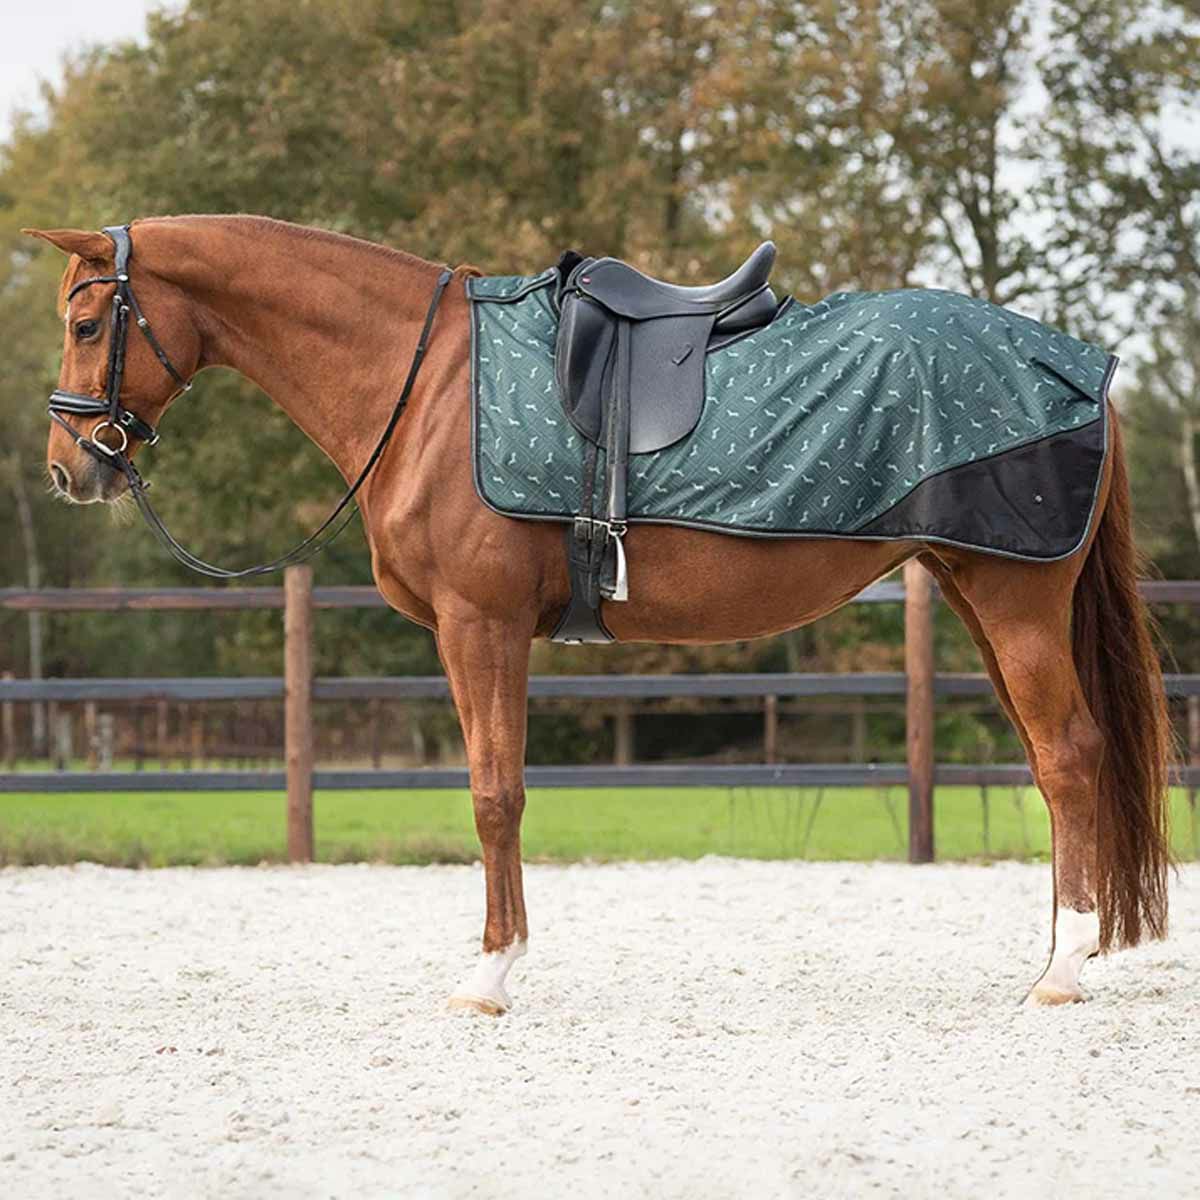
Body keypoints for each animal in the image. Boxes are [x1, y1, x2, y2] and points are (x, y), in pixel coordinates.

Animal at [27, 215, 1171, 1014]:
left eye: (86, 324)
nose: (70, 469)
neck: (424, 383)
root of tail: (1088, 371)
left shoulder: (480, 626)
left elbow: (495, 795)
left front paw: (491, 976)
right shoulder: (473, 636)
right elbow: (496, 789)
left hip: (1015, 599)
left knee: (1070, 755)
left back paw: (1063, 970)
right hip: (982, 593)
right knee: (1051, 762)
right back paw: (1054, 951)